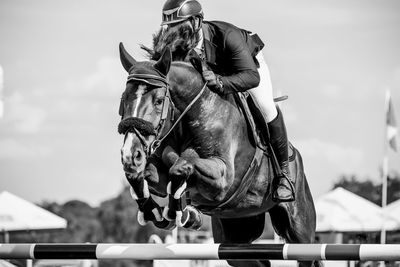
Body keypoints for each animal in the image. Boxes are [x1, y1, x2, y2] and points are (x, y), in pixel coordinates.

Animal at [116, 36, 318, 266]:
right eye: (123, 99)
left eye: (159, 101)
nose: (131, 154)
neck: (194, 111)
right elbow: (147, 174)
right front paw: (154, 211)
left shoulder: (222, 179)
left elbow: (181, 166)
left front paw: (177, 212)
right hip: (235, 232)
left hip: (300, 230)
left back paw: (284, 185)